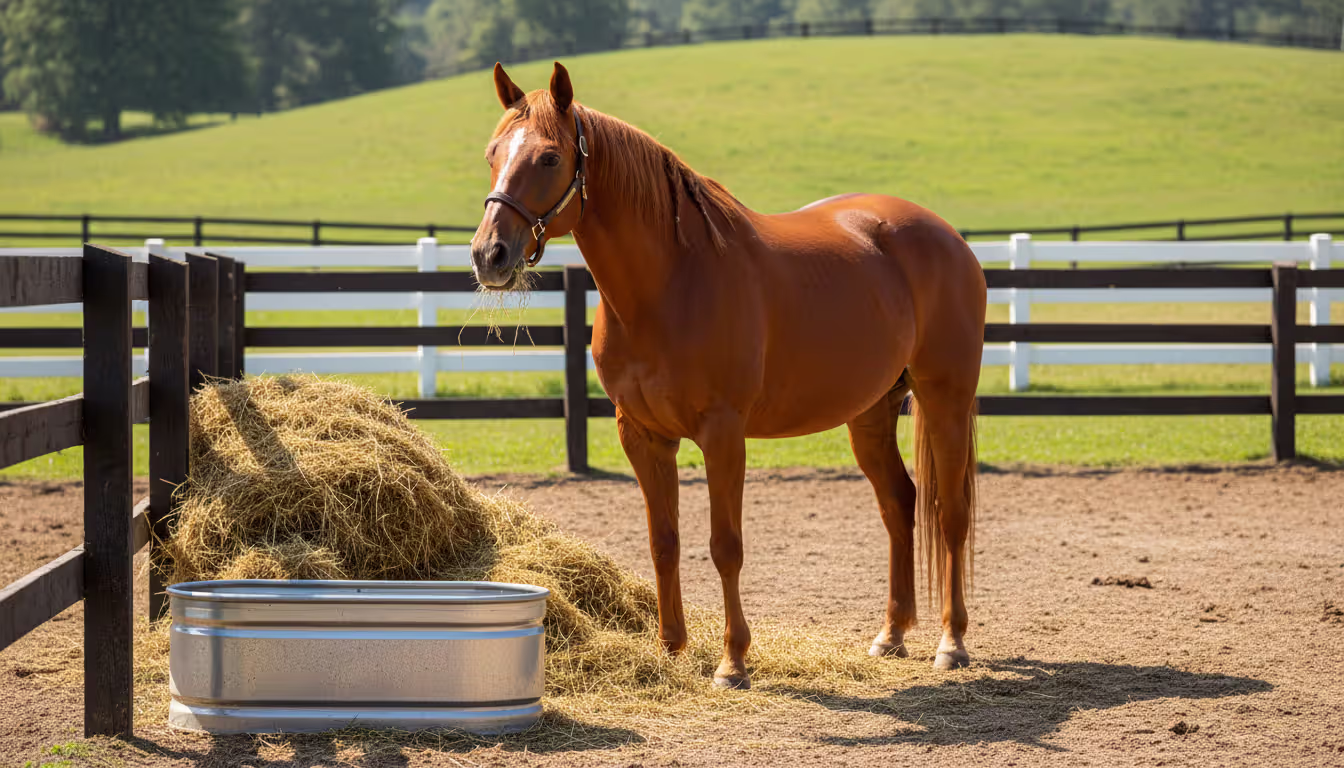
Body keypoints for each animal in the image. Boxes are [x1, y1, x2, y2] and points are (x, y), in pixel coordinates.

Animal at [470, 62, 987, 689]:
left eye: (548, 157)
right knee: (898, 503)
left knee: (949, 512)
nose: (489, 255)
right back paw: (890, 636)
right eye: (493, 153)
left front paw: (733, 661)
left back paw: (951, 642)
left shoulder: (722, 433)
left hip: (945, 396)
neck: (671, 283)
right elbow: (663, 541)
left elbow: (725, 546)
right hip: (871, 411)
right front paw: (671, 649)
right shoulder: (641, 435)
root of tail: (947, 237)